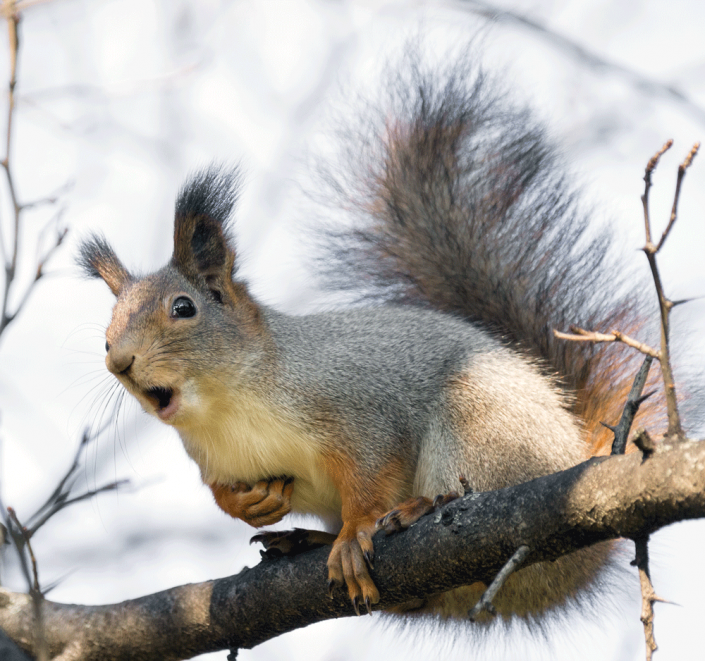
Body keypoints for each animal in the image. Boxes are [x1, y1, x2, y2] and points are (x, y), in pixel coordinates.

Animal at [78, 51, 654, 622]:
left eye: (183, 308)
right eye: (104, 338)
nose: (118, 362)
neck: (228, 406)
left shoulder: (360, 407)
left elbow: (371, 472)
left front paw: (355, 533)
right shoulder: (213, 461)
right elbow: (223, 494)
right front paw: (250, 506)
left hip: (481, 425)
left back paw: (422, 507)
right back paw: (307, 540)